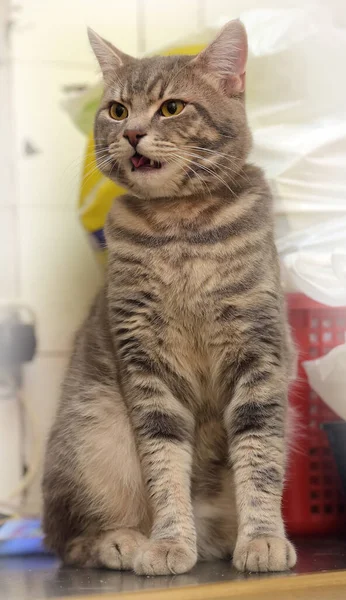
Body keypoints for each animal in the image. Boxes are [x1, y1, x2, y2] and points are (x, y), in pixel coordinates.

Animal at [42, 19, 298, 576]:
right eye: (118, 110)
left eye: (172, 107)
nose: (133, 132)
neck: (181, 228)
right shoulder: (146, 365)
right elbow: (164, 468)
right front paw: (168, 543)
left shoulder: (259, 353)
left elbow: (261, 460)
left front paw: (263, 539)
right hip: (93, 442)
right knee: (67, 541)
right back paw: (122, 542)